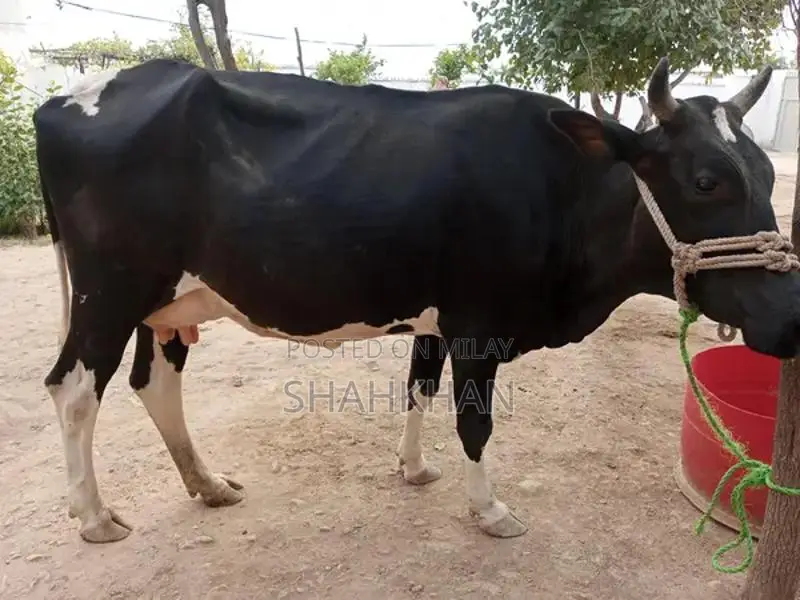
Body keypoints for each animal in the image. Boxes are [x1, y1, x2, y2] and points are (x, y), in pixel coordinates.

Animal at [34, 54, 799, 544]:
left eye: (766, 173)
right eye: (706, 181)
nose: (790, 315)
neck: (562, 190)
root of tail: (63, 98)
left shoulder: (439, 318)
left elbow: (417, 388)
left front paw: (413, 468)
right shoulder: (481, 325)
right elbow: (474, 422)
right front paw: (489, 509)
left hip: (167, 304)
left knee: (154, 382)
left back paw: (207, 483)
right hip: (109, 291)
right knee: (74, 389)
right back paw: (94, 517)